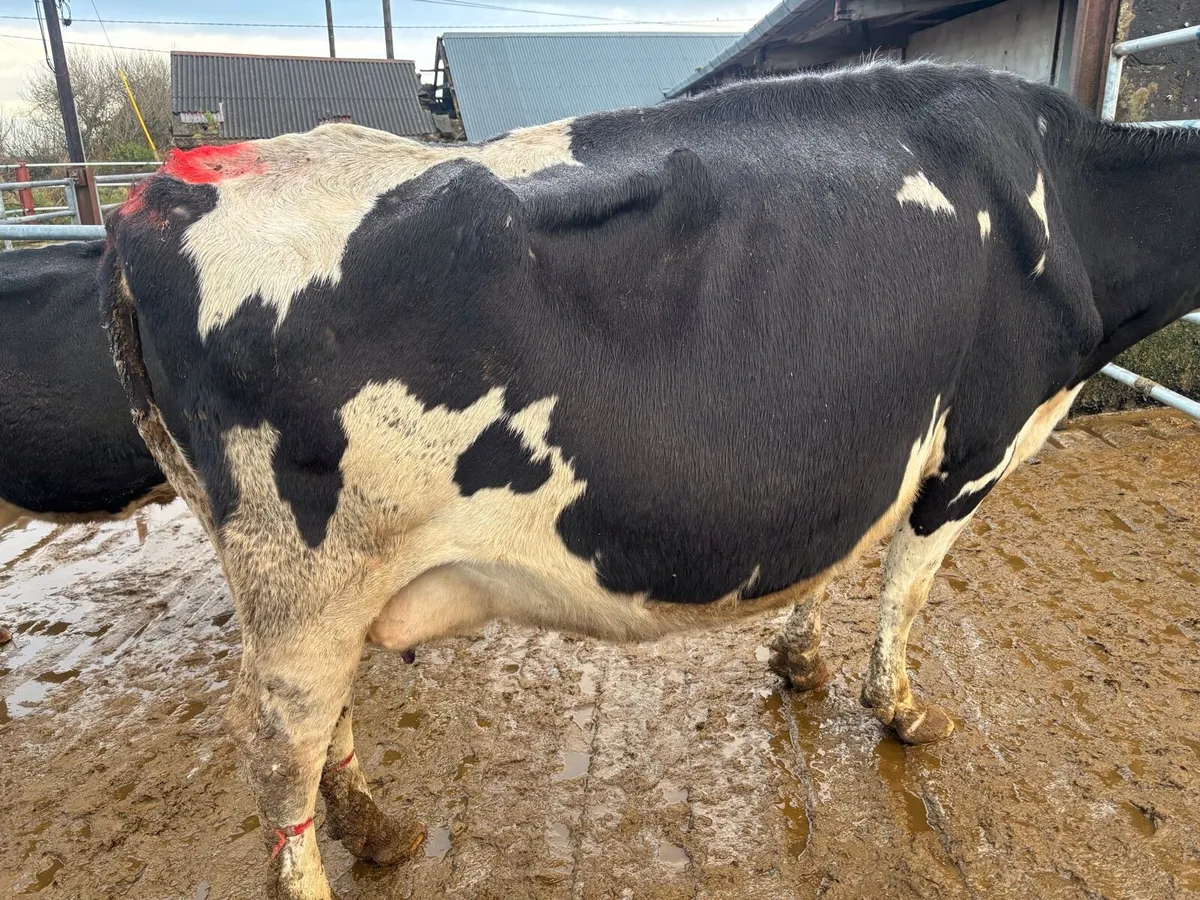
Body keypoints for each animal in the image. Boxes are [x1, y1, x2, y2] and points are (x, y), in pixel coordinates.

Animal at [101, 61, 1199, 898]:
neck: (1066, 189)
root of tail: (157, 193)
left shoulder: (866, 440)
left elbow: (841, 552)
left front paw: (800, 658)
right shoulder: (981, 437)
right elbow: (906, 587)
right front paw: (902, 710)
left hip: (309, 582)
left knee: (321, 722)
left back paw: (378, 826)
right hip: (307, 573)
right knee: (277, 751)